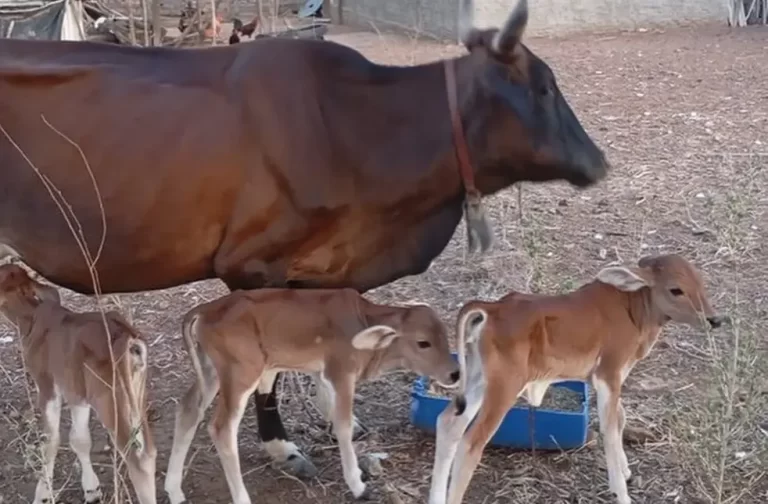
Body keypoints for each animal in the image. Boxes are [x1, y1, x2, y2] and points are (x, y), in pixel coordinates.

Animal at [0, 0, 609, 478]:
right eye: (544, 87)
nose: (599, 162)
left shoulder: (320, 267)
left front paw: (343, 421)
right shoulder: (251, 266)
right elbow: (270, 369)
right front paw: (283, 447)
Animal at [0, 264, 156, 504]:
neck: (31, 319)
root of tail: (129, 340)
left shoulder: (47, 383)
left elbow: (51, 441)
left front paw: (43, 494)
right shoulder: (77, 391)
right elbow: (79, 439)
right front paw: (92, 490)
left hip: (110, 399)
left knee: (137, 459)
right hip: (136, 394)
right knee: (148, 450)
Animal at [164, 289, 459, 502]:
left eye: (445, 336)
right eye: (423, 342)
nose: (455, 373)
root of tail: (203, 310)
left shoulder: (322, 373)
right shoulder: (341, 372)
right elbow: (343, 425)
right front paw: (358, 485)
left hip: (212, 371)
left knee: (188, 409)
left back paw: (174, 491)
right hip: (240, 374)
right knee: (222, 428)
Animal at [427, 254, 725, 504]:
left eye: (701, 283)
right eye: (676, 289)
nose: (714, 320)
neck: (632, 309)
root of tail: (491, 309)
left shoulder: (614, 377)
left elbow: (620, 418)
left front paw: (625, 471)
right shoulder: (608, 374)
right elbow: (610, 429)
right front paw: (621, 491)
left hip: (479, 380)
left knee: (449, 425)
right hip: (504, 387)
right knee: (470, 443)